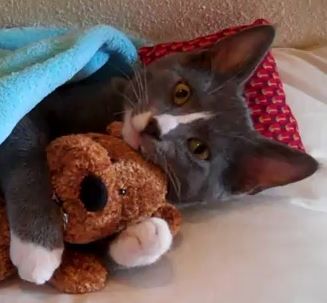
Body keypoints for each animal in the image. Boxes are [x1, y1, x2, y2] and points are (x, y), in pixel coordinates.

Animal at [0, 25, 320, 286]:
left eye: (199, 148)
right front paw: (38, 249)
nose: (155, 126)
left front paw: (143, 236)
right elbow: (24, 142)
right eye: (182, 92)